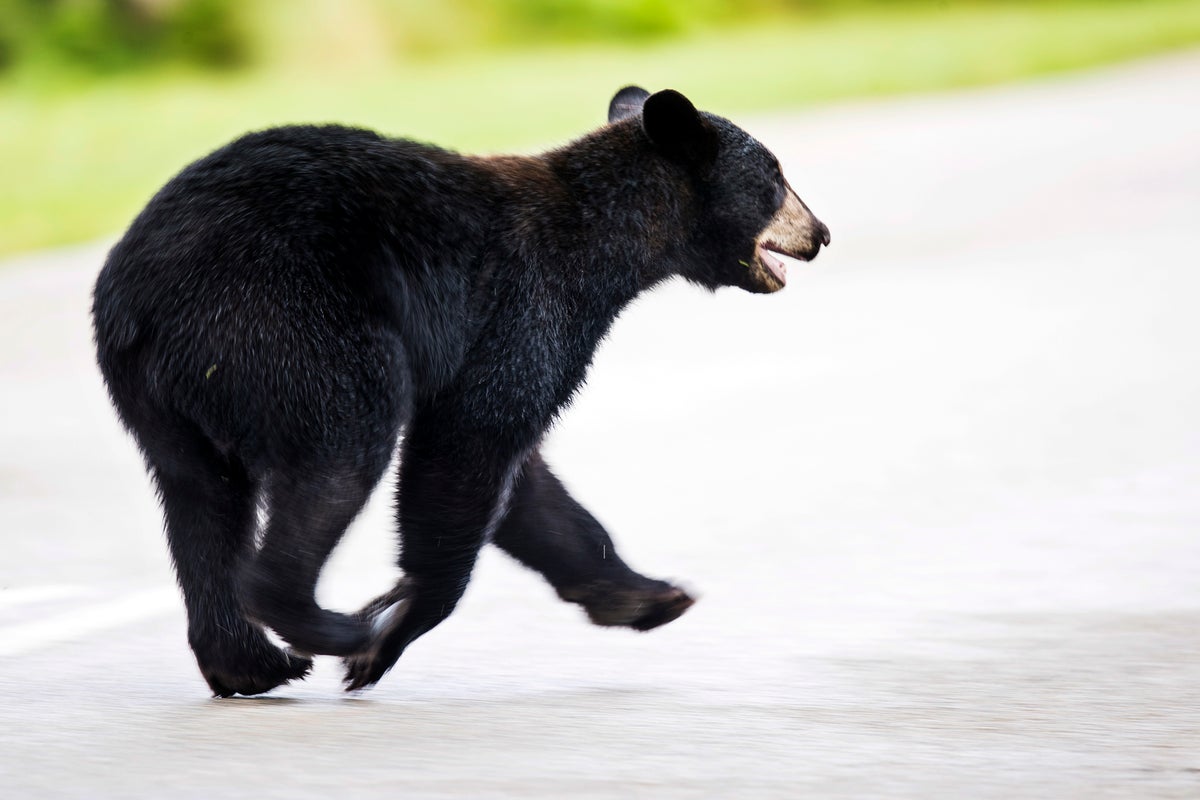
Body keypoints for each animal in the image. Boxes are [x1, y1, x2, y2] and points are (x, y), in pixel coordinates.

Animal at [92, 85, 829, 696]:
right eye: (775, 177)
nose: (821, 233)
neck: (605, 242)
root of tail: (137, 293)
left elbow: (529, 487)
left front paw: (647, 595)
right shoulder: (526, 306)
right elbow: (468, 446)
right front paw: (389, 636)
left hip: (165, 395)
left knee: (201, 499)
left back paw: (247, 663)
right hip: (287, 326)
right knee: (340, 452)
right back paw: (330, 627)